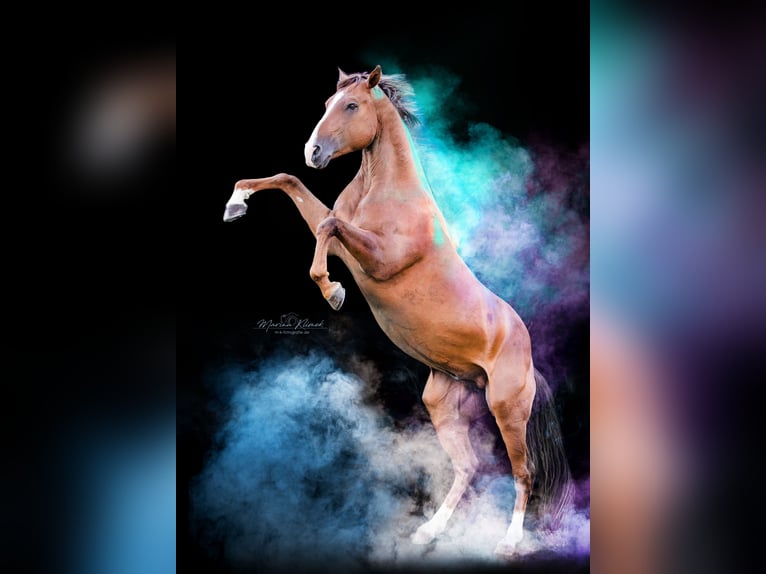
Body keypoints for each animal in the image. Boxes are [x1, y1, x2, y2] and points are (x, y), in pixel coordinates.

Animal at [222, 66, 573, 556]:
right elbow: (295, 188)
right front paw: (235, 204)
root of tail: (528, 358)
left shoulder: (379, 260)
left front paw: (332, 292)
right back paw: (428, 532)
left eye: (352, 105)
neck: (385, 193)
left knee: (523, 473)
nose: (313, 152)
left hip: (507, 409)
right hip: (443, 403)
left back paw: (507, 542)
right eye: (327, 104)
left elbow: (329, 225)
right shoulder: (348, 247)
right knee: (467, 467)